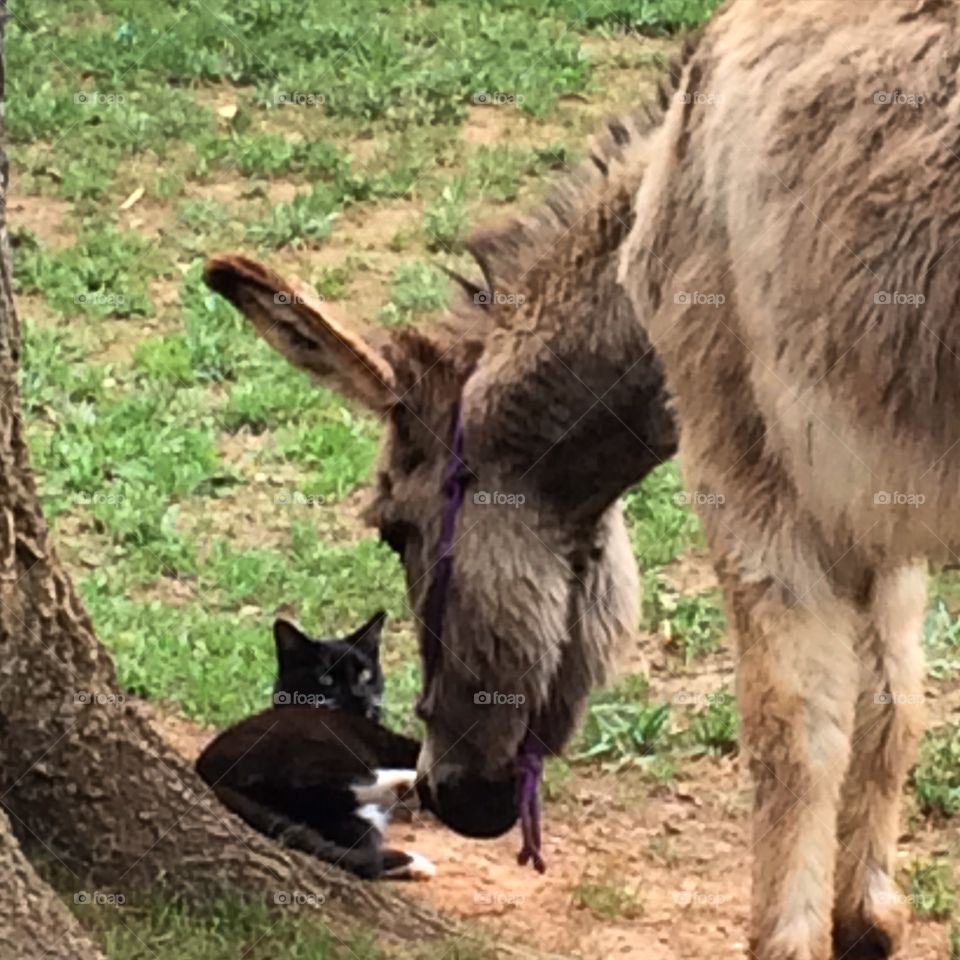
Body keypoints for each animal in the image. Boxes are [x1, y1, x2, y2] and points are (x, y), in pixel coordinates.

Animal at [196, 612, 436, 880]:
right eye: (326, 679)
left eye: (365, 675)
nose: (359, 695)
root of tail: (210, 775)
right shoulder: (387, 741)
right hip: (313, 753)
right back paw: (408, 785)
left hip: (341, 817)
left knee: (358, 851)